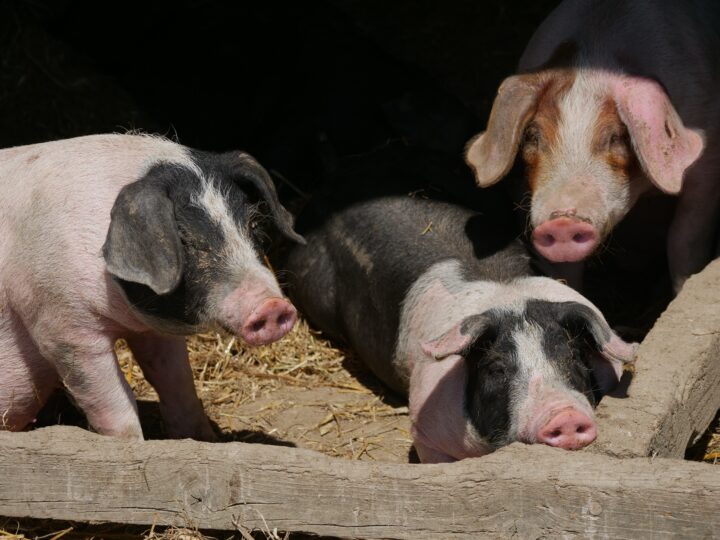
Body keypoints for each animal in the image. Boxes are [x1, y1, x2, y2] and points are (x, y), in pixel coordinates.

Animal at [0, 133, 304, 440]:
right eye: (184, 239)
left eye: (253, 225)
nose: (273, 306)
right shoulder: (62, 326)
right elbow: (116, 407)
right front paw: (132, 444)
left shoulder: (154, 329)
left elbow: (178, 386)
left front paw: (202, 439)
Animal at [464, 0, 720, 291]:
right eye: (532, 136)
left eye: (617, 137)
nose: (562, 221)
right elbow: (565, 272)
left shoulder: (707, 168)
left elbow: (683, 244)